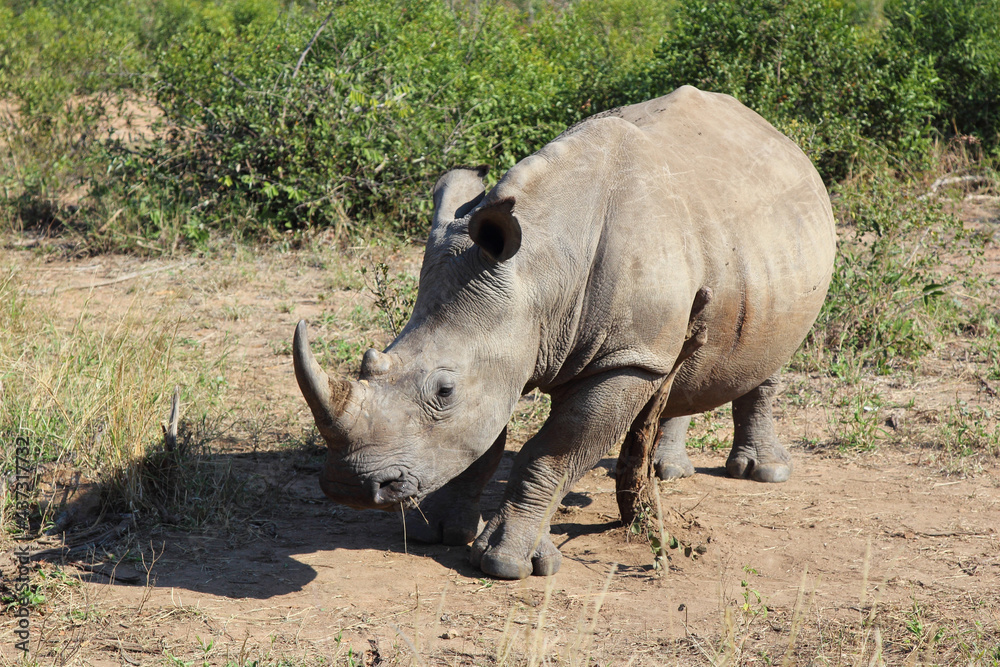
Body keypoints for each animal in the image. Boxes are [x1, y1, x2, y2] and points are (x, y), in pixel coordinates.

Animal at [294, 86, 836, 579]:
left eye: (444, 390)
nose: (349, 486)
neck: (541, 273)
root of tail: (773, 131)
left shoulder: (623, 360)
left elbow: (552, 451)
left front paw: (506, 563)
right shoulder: (510, 338)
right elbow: (484, 441)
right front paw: (439, 533)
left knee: (770, 353)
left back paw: (764, 473)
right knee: (687, 354)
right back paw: (666, 470)